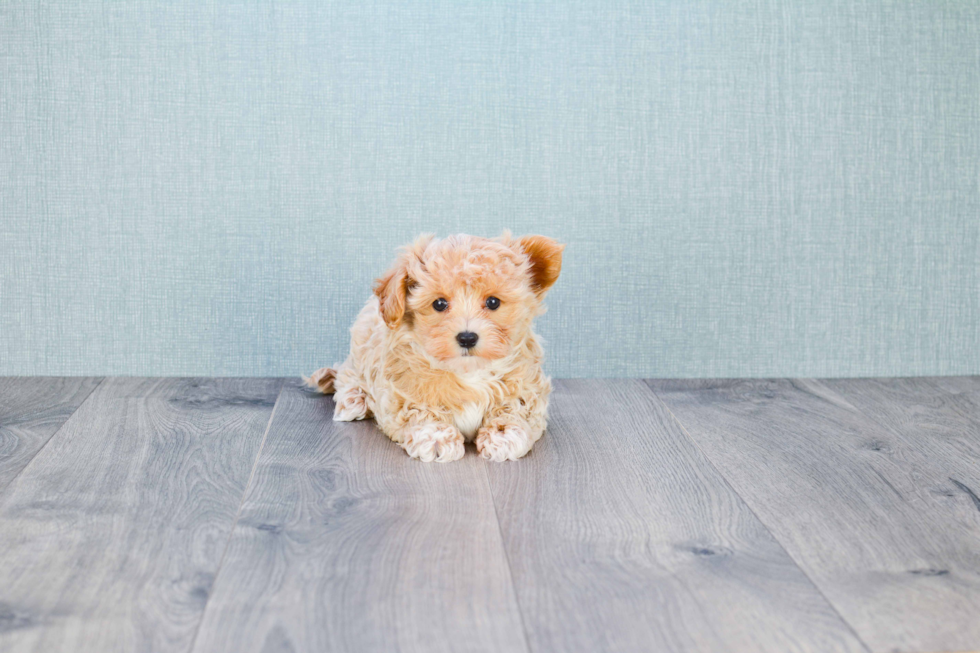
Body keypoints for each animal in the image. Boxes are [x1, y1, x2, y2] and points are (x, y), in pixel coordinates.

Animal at [306, 232, 568, 460]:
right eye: (439, 304)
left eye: (493, 302)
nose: (467, 337)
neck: (469, 372)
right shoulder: (402, 388)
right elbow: (421, 410)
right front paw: (436, 437)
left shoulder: (527, 386)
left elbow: (514, 407)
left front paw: (503, 435)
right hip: (360, 346)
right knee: (346, 374)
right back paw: (354, 400)